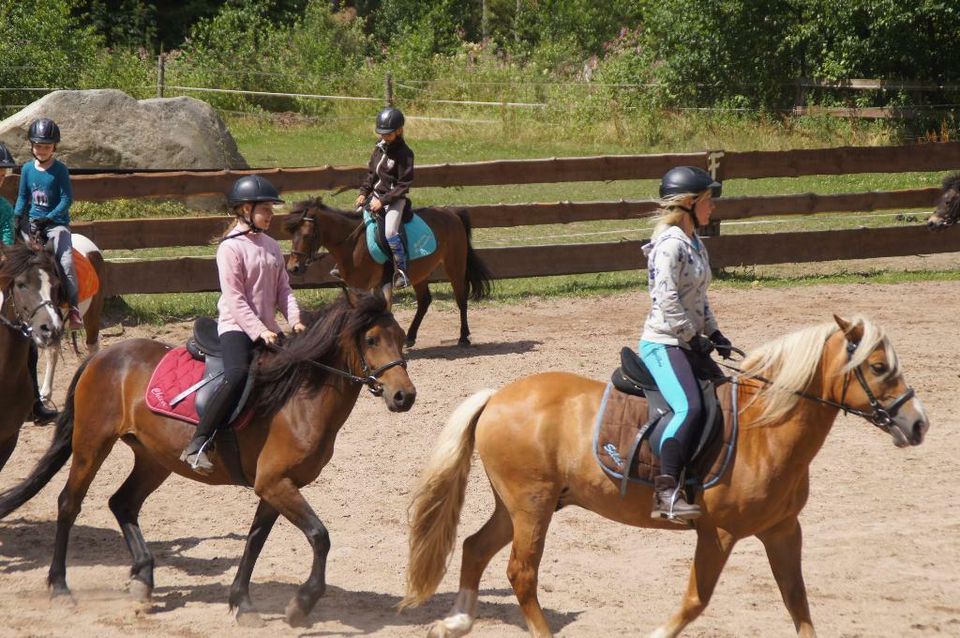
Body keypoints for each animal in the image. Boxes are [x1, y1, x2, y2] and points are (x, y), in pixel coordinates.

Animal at [0, 290, 416, 632]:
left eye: (402, 337)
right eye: (371, 339)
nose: (404, 396)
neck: (299, 399)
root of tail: (102, 356)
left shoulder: (276, 487)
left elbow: (255, 541)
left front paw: (242, 603)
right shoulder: (275, 484)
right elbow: (319, 536)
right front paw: (301, 604)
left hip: (155, 458)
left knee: (123, 503)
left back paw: (143, 579)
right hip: (92, 444)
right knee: (69, 504)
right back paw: (60, 587)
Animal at [282, 200, 492, 350]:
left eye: (308, 235)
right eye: (293, 235)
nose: (293, 268)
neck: (353, 244)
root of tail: (452, 213)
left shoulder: (372, 283)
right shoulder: (359, 285)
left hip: (454, 265)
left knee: (461, 298)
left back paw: (463, 337)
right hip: (420, 272)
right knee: (424, 300)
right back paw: (410, 338)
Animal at [402, 316, 928, 638]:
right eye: (878, 367)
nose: (918, 424)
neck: (766, 430)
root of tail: (497, 396)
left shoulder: (783, 531)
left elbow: (797, 600)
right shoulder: (718, 534)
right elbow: (697, 599)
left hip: (517, 506)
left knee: (475, 547)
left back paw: (456, 622)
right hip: (532, 508)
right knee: (521, 572)